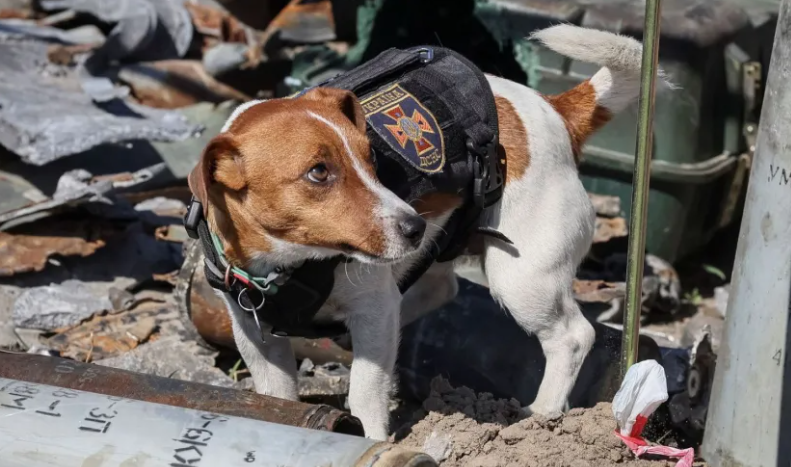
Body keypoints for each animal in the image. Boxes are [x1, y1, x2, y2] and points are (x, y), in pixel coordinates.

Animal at [189, 25, 660, 440]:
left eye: (372, 160)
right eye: (318, 172)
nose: (413, 226)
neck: (287, 263)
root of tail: (554, 110)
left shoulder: (372, 308)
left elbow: (366, 392)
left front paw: (370, 438)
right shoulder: (256, 337)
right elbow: (278, 395)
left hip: (524, 278)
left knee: (573, 336)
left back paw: (541, 414)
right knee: (437, 291)